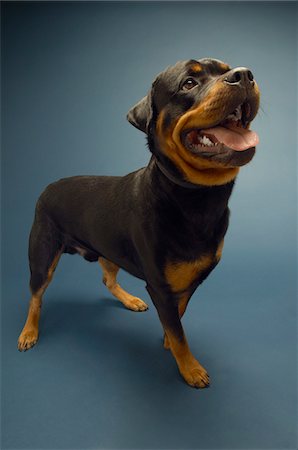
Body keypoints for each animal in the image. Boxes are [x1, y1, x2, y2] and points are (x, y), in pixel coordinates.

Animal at [18, 58, 260, 388]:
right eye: (189, 83)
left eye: (227, 68)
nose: (244, 75)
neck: (195, 198)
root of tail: (49, 186)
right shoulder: (160, 285)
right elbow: (179, 331)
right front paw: (190, 367)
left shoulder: (187, 282)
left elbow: (178, 317)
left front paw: (169, 342)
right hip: (43, 251)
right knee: (36, 294)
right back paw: (29, 332)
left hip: (108, 247)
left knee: (107, 278)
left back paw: (129, 300)